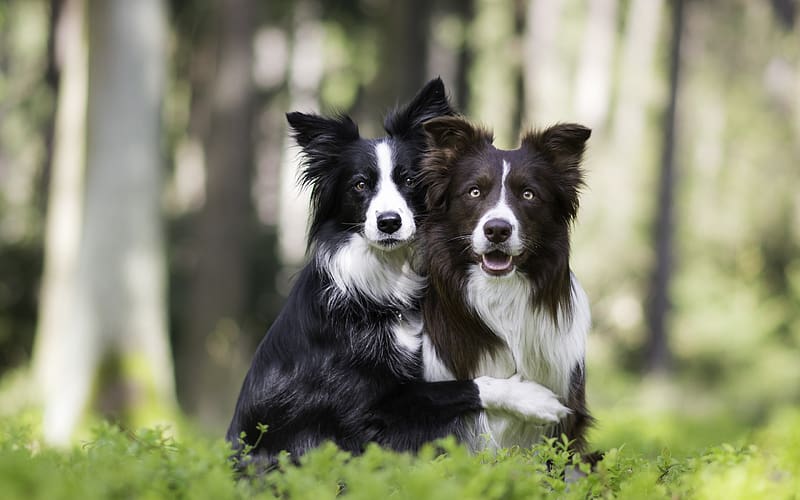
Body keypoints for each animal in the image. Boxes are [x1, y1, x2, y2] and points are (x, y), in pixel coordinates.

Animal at [225, 80, 568, 466]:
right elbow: (463, 386)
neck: (382, 282)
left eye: (409, 179)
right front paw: (534, 398)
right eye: (360, 185)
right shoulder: (365, 409)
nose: (388, 222)